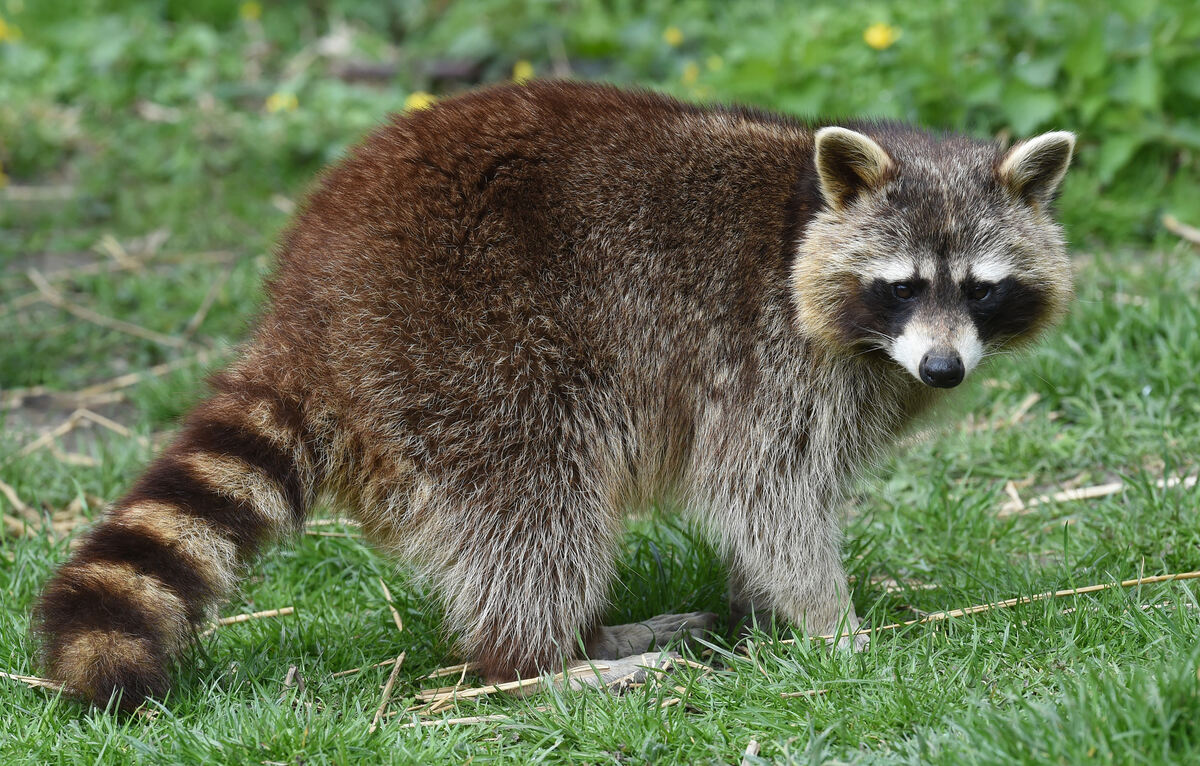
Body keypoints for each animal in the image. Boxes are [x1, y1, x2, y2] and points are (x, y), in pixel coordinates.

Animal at [34, 81, 1075, 711]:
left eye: (982, 290)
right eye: (901, 286)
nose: (943, 370)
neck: (803, 218)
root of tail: (305, 308)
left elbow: (770, 508)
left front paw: (767, 607)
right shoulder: (767, 356)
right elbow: (764, 494)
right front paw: (832, 623)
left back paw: (592, 633)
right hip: (465, 352)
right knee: (537, 505)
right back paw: (539, 664)